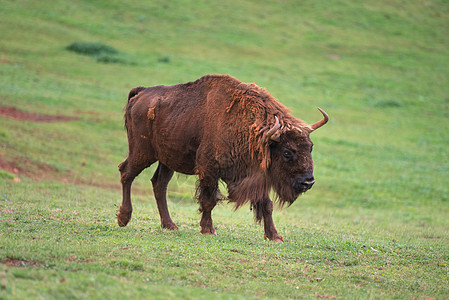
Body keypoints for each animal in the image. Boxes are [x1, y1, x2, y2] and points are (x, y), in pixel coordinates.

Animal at [117, 75, 328, 241]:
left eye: (310, 147)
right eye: (287, 152)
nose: (308, 182)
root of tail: (141, 93)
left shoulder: (257, 177)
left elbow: (267, 205)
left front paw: (275, 236)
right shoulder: (209, 170)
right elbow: (208, 200)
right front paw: (208, 230)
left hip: (167, 159)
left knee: (159, 184)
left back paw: (170, 225)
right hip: (142, 152)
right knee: (126, 173)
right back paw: (123, 218)